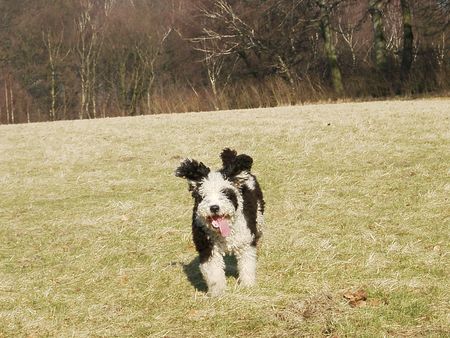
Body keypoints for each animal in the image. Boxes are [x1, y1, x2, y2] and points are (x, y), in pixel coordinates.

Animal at [175, 148, 264, 296]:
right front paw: (218, 293)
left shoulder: (245, 243)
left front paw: (248, 286)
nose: (214, 207)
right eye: (203, 195)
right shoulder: (208, 248)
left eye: (225, 192)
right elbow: (214, 273)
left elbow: (247, 265)